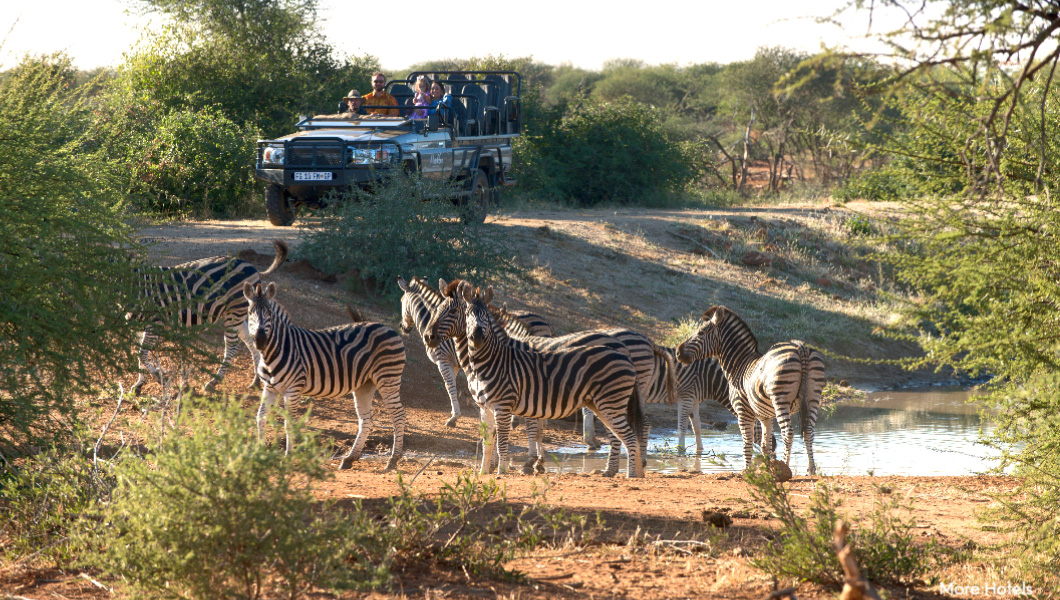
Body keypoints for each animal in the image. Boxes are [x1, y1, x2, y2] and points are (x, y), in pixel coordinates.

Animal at [126, 237, 288, 396]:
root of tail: (252, 267)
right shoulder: (136, 326)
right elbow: (140, 354)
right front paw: (139, 384)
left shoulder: (155, 321)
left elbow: (142, 354)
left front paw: (161, 378)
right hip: (238, 314)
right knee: (250, 341)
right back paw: (256, 381)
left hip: (234, 312)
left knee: (231, 346)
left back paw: (214, 382)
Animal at [242, 279, 404, 472]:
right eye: (250, 313)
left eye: (269, 313)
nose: (260, 340)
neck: (275, 350)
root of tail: (388, 328)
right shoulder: (270, 387)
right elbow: (261, 417)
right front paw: (259, 451)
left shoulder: (293, 388)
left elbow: (289, 422)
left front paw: (288, 456)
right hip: (365, 384)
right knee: (366, 418)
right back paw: (350, 458)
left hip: (388, 378)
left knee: (399, 415)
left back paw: (393, 460)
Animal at [398, 275, 559, 430]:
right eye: (437, 309)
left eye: (401, 301)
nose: (402, 327)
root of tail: (549, 324)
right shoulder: (455, 364)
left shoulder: (443, 360)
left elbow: (450, 387)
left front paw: (454, 417)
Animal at [674, 307, 822, 477]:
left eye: (701, 332)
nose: (678, 352)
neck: (739, 365)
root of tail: (800, 347)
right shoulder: (765, 415)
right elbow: (765, 444)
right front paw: (767, 468)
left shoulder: (742, 410)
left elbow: (747, 442)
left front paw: (747, 470)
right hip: (813, 398)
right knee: (808, 432)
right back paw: (811, 469)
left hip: (781, 399)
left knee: (788, 433)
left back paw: (786, 466)